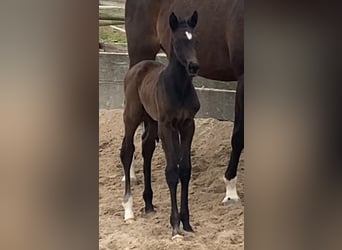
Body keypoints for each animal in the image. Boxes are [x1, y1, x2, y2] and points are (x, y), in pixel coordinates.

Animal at [120, 11, 200, 238]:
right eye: (178, 41)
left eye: (195, 40)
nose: (193, 66)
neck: (179, 88)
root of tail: (137, 68)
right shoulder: (167, 126)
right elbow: (172, 171)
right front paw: (175, 227)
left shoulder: (187, 125)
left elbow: (185, 170)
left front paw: (187, 223)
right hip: (132, 116)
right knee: (127, 150)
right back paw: (128, 210)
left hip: (151, 119)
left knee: (146, 146)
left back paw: (148, 204)